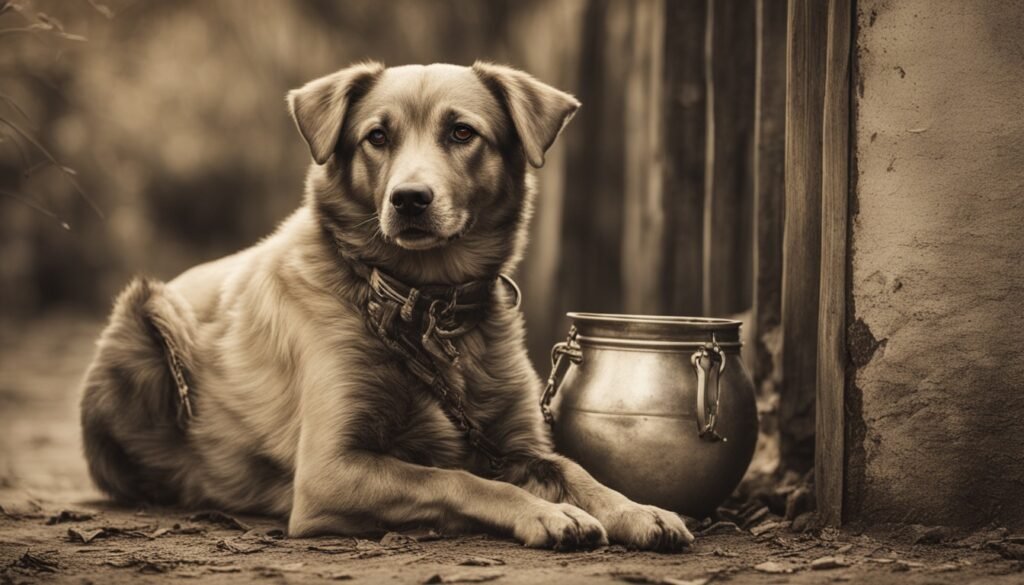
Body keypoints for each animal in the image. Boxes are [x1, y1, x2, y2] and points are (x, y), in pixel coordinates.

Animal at [75, 61, 692, 553]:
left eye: (462, 132)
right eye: (376, 136)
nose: (409, 199)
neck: (423, 306)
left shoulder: (515, 439)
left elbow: (574, 469)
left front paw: (639, 509)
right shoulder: (329, 472)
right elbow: (458, 479)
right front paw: (544, 512)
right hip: (147, 316)